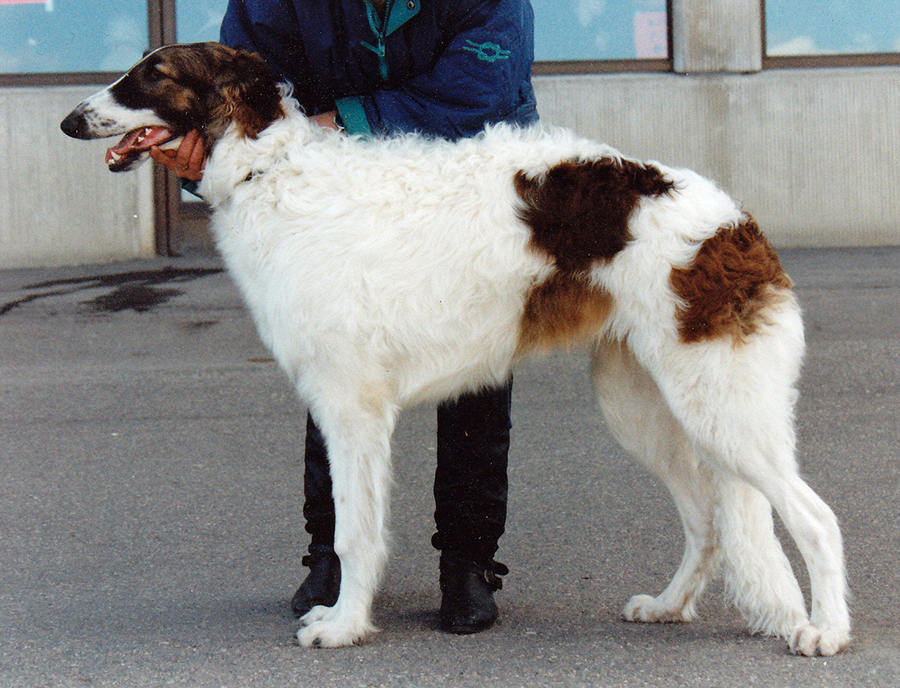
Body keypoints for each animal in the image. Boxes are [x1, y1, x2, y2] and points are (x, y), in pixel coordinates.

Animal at [58, 43, 852, 656]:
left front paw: (342, 627)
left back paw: (825, 632)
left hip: (721, 408)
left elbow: (353, 533)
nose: (70, 120)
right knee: (710, 522)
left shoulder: (350, 407)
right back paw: (667, 605)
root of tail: (735, 224)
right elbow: (353, 529)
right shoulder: (348, 409)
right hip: (645, 406)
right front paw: (342, 612)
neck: (273, 171)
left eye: (154, 72)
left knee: (815, 518)